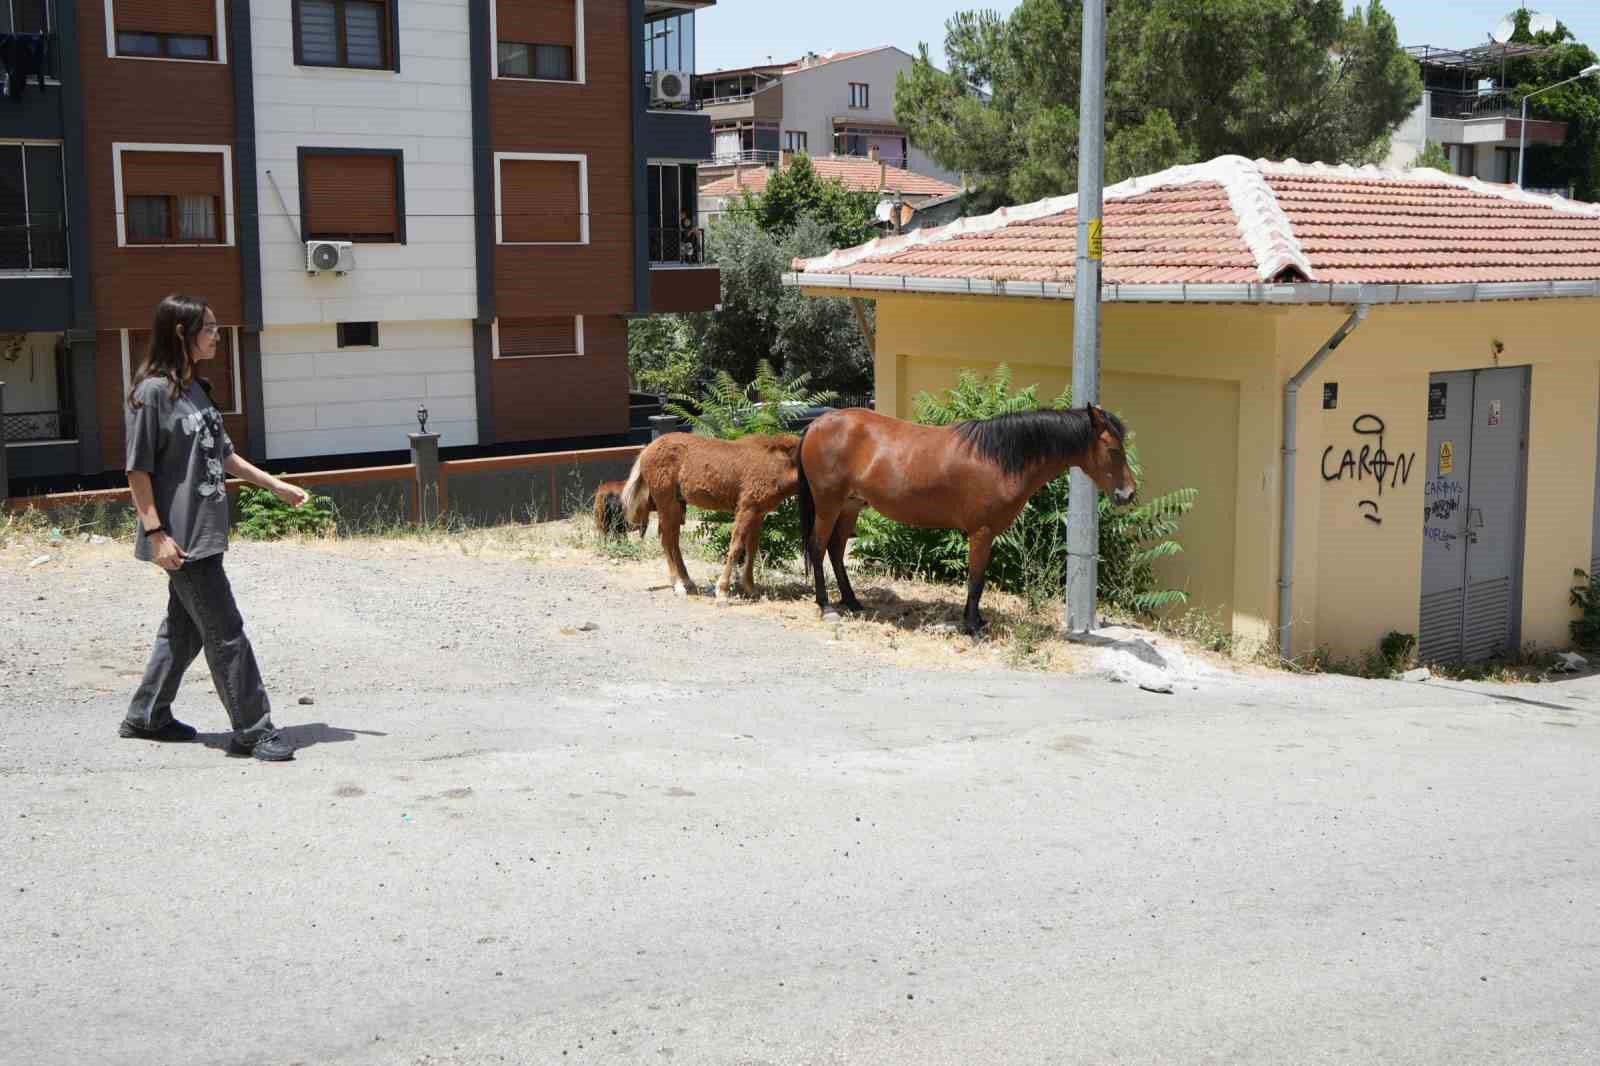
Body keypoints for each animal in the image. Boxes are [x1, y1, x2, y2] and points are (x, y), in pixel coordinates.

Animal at [800, 403, 1139, 627]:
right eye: (1112, 450)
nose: (1129, 494)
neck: (999, 459)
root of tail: (817, 424)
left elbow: (979, 578)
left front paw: (973, 619)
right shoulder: (982, 532)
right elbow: (976, 580)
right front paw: (973, 625)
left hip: (850, 506)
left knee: (836, 550)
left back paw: (852, 600)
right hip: (829, 503)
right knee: (818, 548)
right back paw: (826, 606)